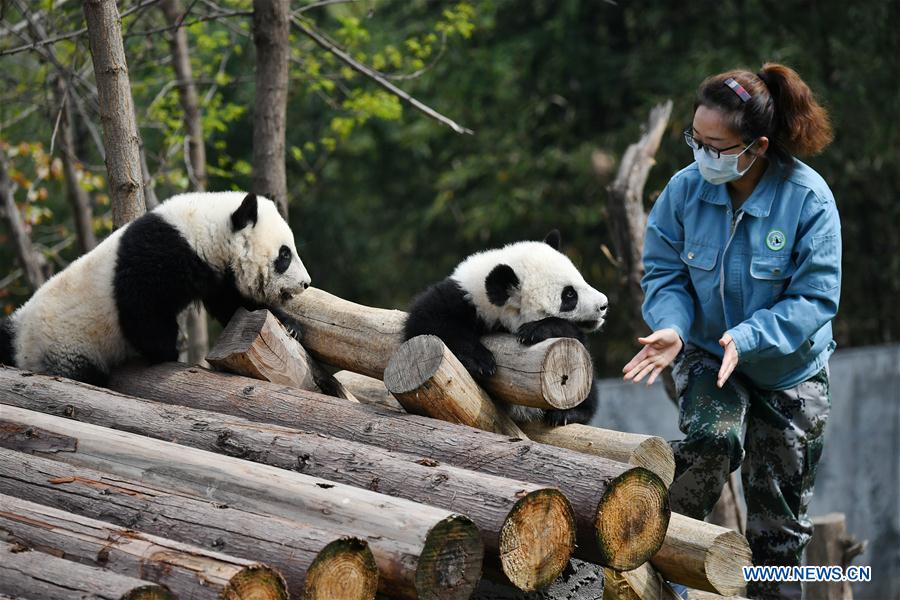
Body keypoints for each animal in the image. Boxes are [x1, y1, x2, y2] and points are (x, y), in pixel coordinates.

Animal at [0, 191, 310, 386]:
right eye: (285, 255)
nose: (305, 283)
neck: (201, 230)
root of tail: (19, 339)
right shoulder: (158, 254)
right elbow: (141, 310)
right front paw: (166, 352)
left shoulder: (215, 273)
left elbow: (233, 305)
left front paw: (291, 327)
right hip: (64, 346)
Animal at [404, 230, 608, 425]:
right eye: (569, 295)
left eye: (581, 279)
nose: (604, 304)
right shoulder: (457, 299)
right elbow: (427, 325)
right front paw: (480, 361)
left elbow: (573, 335)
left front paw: (534, 330)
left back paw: (568, 413)